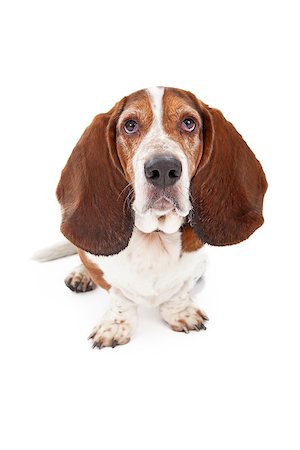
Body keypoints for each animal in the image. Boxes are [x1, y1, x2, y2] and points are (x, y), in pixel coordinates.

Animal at [34, 87, 268, 348]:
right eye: (130, 125)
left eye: (189, 123)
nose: (163, 169)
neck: (156, 234)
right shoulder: (106, 275)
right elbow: (119, 296)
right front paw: (116, 325)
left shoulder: (196, 264)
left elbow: (180, 291)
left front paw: (180, 312)